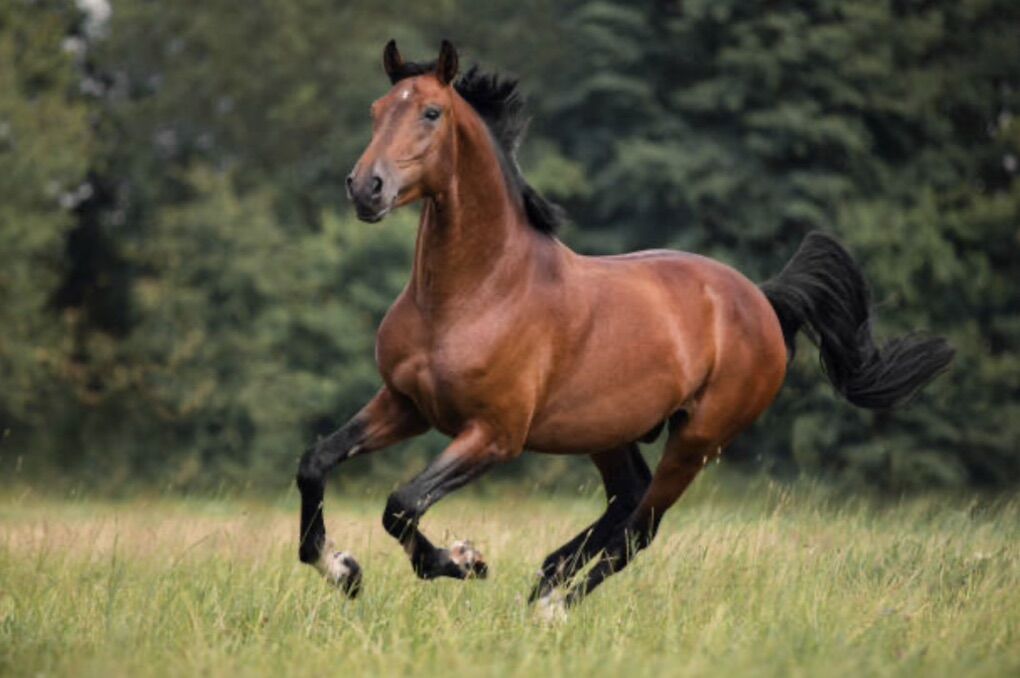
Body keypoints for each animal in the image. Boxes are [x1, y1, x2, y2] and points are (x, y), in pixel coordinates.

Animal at [295, 39, 954, 611]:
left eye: (431, 112)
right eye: (377, 110)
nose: (366, 188)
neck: (474, 293)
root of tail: (763, 300)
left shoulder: (495, 434)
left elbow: (403, 502)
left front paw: (463, 559)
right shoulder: (406, 403)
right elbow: (317, 463)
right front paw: (342, 569)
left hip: (696, 441)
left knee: (641, 527)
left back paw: (552, 606)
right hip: (609, 431)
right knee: (625, 502)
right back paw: (548, 576)